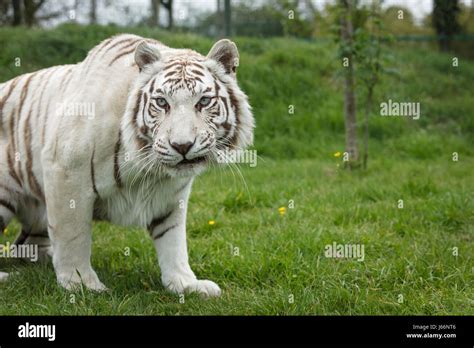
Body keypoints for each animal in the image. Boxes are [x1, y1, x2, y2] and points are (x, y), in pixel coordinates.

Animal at [0, 33, 256, 296]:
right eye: (162, 103)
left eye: (204, 101)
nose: (182, 146)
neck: (148, 168)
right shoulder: (65, 171)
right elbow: (73, 235)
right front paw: (81, 284)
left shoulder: (172, 195)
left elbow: (173, 241)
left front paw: (186, 284)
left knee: (25, 245)